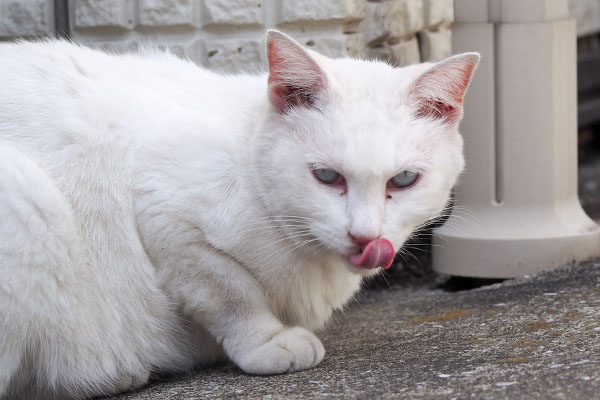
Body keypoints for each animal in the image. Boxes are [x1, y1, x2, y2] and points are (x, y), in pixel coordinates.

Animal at [0, 29, 478, 398]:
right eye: (326, 176)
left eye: (403, 180)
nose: (365, 237)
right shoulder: (166, 220)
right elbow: (233, 294)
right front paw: (267, 343)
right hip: (27, 203)